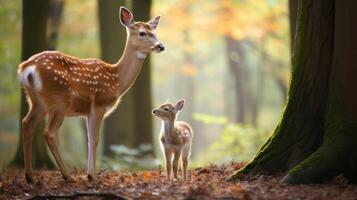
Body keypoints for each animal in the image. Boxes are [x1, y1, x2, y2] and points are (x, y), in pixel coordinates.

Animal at [18, 6, 164, 183]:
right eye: (142, 33)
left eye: (154, 32)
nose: (161, 46)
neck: (116, 80)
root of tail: (26, 68)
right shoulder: (100, 102)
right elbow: (95, 139)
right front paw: (92, 175)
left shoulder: (87, 111)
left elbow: (89, 139)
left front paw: (89, 173)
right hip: (58, 100)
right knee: (49, 132)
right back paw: (67, 176)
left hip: (35, 100)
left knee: (27, 123)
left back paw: (30, 176)